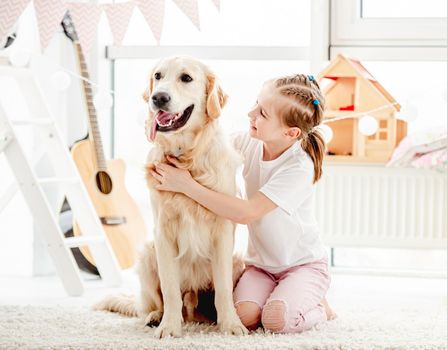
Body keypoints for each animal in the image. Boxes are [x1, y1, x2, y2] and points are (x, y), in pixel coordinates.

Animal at [96, 56, 248, 338]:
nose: (158, 97)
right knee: (157, 301)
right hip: (147, 253)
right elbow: (169, 288)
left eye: (186, 78)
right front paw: (169, 327)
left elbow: (223, 288)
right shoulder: (163, 232)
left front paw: (231, 325)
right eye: (158, 76)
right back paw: (156, 316)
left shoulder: (223, 230)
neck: (185, 155)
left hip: (237, 260)